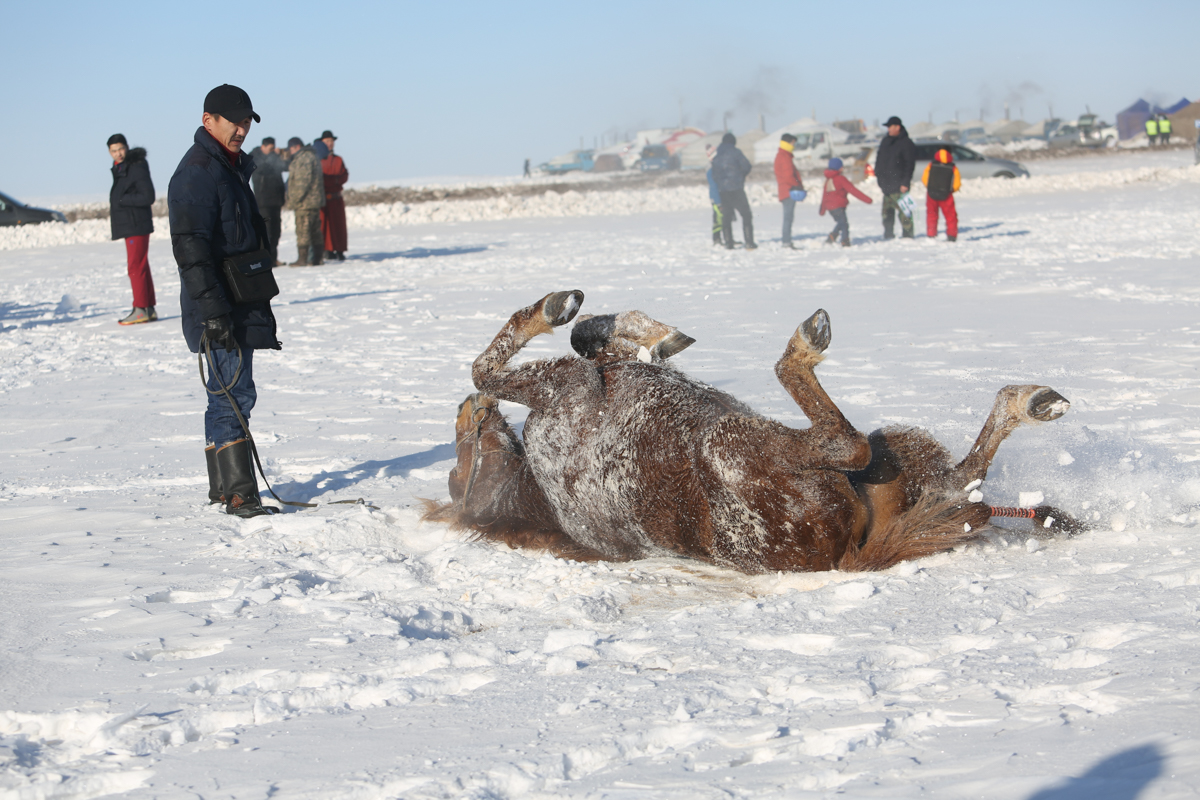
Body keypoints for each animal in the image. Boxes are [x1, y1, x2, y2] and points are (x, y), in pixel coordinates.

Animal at [423, 291, 1082, 573]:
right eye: (459, 464)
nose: (467, 411)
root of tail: (852, 551)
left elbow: (595, 337)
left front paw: (652, 332)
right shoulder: (565, 388)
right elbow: (488, 363)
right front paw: (556, 305)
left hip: (899, 450)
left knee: (962, 477)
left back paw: (1031, 402)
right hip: (735, 441)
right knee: (850, 442)